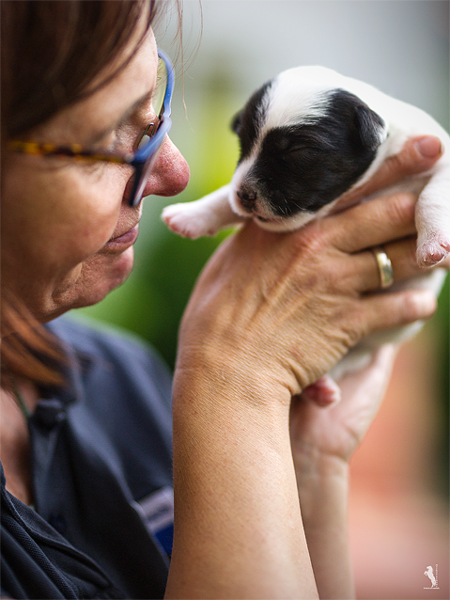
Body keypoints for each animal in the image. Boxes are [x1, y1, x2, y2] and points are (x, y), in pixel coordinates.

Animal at [163, 65, 450, 400]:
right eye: (243, 143)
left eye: (298, 151)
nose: (245, 195)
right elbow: (224, 197)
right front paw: (192, 215)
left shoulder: (440, 158)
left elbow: (431, 197)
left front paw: (432, 244)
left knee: (355, 357)